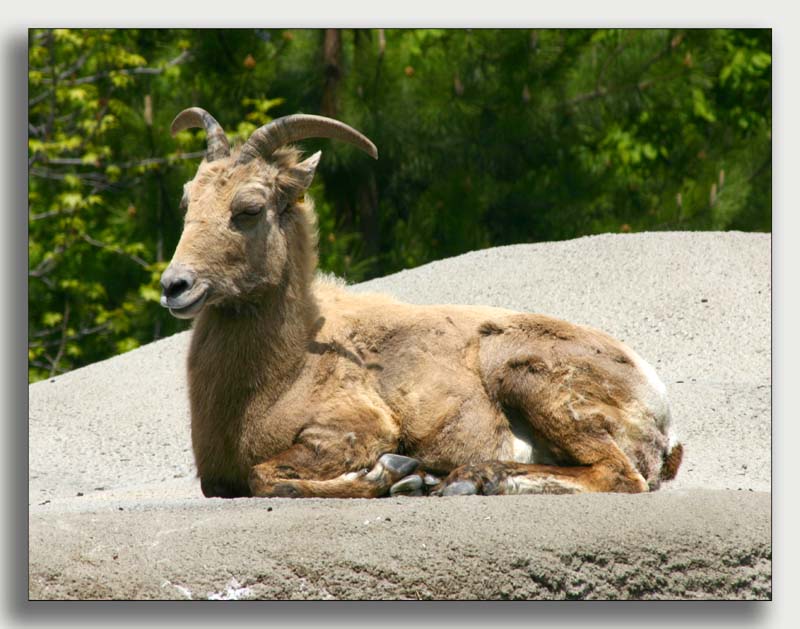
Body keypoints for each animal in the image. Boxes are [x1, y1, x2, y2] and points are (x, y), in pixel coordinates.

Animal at [161, 109, 680, 500]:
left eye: (248, 209)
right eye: (187, 202)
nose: (175, 285)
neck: (285, 370)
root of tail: (661, 413)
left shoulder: (352, 429)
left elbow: (266, 476)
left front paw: (391, 473)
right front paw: (408, 475)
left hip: (529, 377)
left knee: (617, 474)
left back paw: (464, 479)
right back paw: (458, 478)